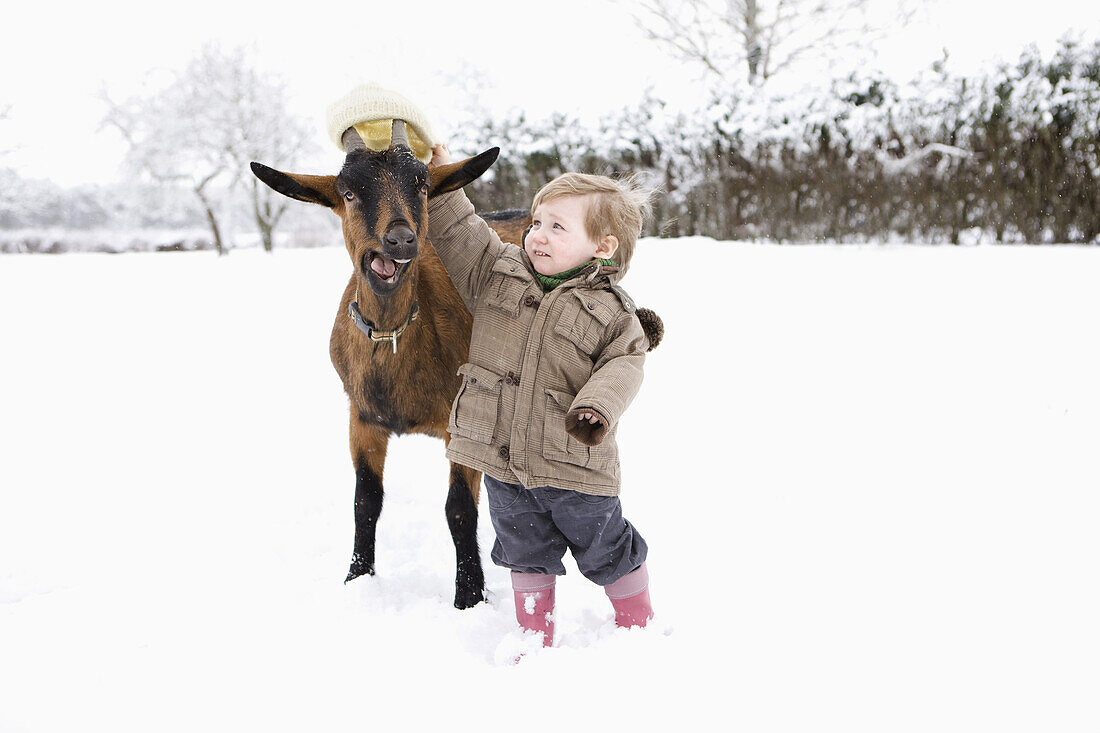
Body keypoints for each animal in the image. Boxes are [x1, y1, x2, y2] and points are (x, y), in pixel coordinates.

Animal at [253, 124, 519, 603]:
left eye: (422, 184)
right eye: (348, 192)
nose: (400, 240)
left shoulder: (461, 422)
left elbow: (458, 509)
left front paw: (469, 597)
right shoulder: (362, 417)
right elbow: (365, 501)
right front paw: (357, 578)